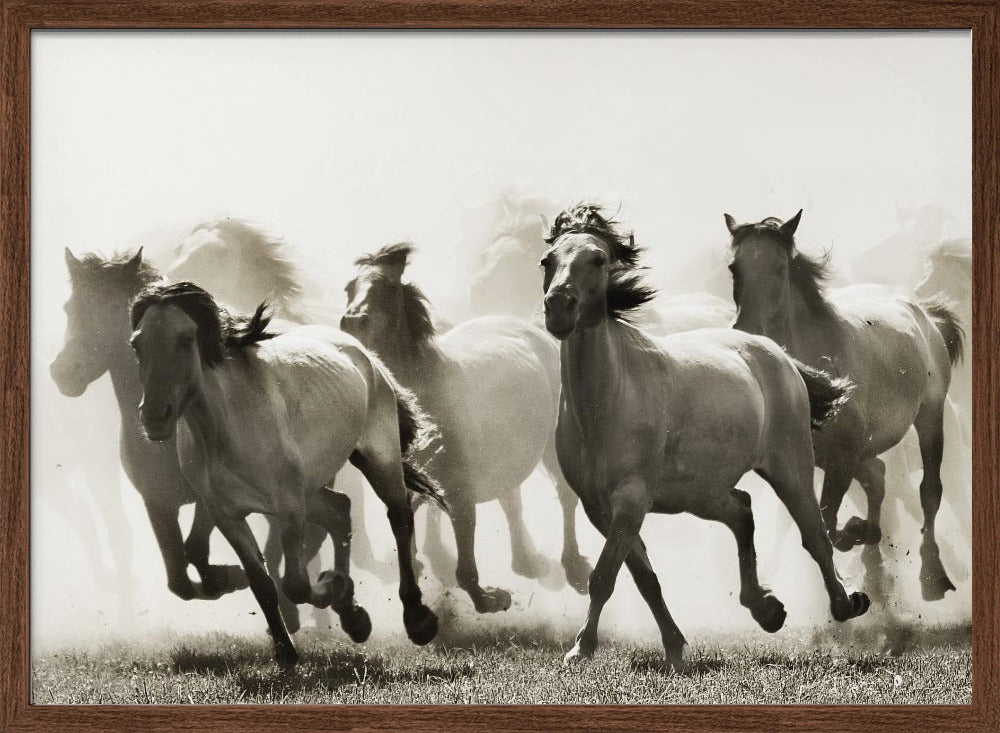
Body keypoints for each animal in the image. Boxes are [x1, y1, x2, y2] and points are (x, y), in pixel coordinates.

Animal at [50, 250, 249, 603]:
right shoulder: (157, 503)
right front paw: (221, 579)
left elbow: (195, 549)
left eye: (113, 309)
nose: (64, 372)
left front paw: (228, 577)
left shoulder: (210, 499)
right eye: (69, 308)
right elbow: (178, 579)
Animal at [129, 282, 443, 665]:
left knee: (398, 517)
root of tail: (363, 353)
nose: (154, 416)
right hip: (312, 487)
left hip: (378, 458)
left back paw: (417, 619)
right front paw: (286, 650)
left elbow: (294, 583)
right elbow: (262, 583)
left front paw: (331, 586)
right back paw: (353, 618)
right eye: (137, 344)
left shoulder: (288, 505)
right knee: (340, 510)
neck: (226, 427)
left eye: (186, 339)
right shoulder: (226, 514)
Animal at [340, 243, 593, 612]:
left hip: (550, 445)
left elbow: (464, 560)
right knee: (511, 499)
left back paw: (573, 568)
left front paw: (489, 598)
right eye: (349, 288)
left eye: (386, 288)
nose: (351, 323)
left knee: (564, 496)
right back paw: (527, 562)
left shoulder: (459, 489)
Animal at [540, 203, 869, 668]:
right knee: (743, 510)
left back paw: (846, 603)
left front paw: (580, 649)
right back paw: (766, 609)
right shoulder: (598, 508)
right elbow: (644, 579)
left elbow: (604, 576)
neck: (604, 404)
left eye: (598, 259)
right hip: (700, 493)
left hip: (790, 467)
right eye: (547, 262)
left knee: (815, 536)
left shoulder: (631, 500)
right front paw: (674, 647)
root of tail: (777, 353)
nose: (558, 308)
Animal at [724, 210, 964, 603]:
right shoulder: (814, 462)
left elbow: (829, 523)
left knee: (929, 491)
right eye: (734, 267)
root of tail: (925, 314)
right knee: (878, 477)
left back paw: (932, 576)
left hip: (930, 417)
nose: (747, 330)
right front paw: (863, 537)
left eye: (779, 267)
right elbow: (825, 523)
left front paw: (857, 535)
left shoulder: (842, 457)